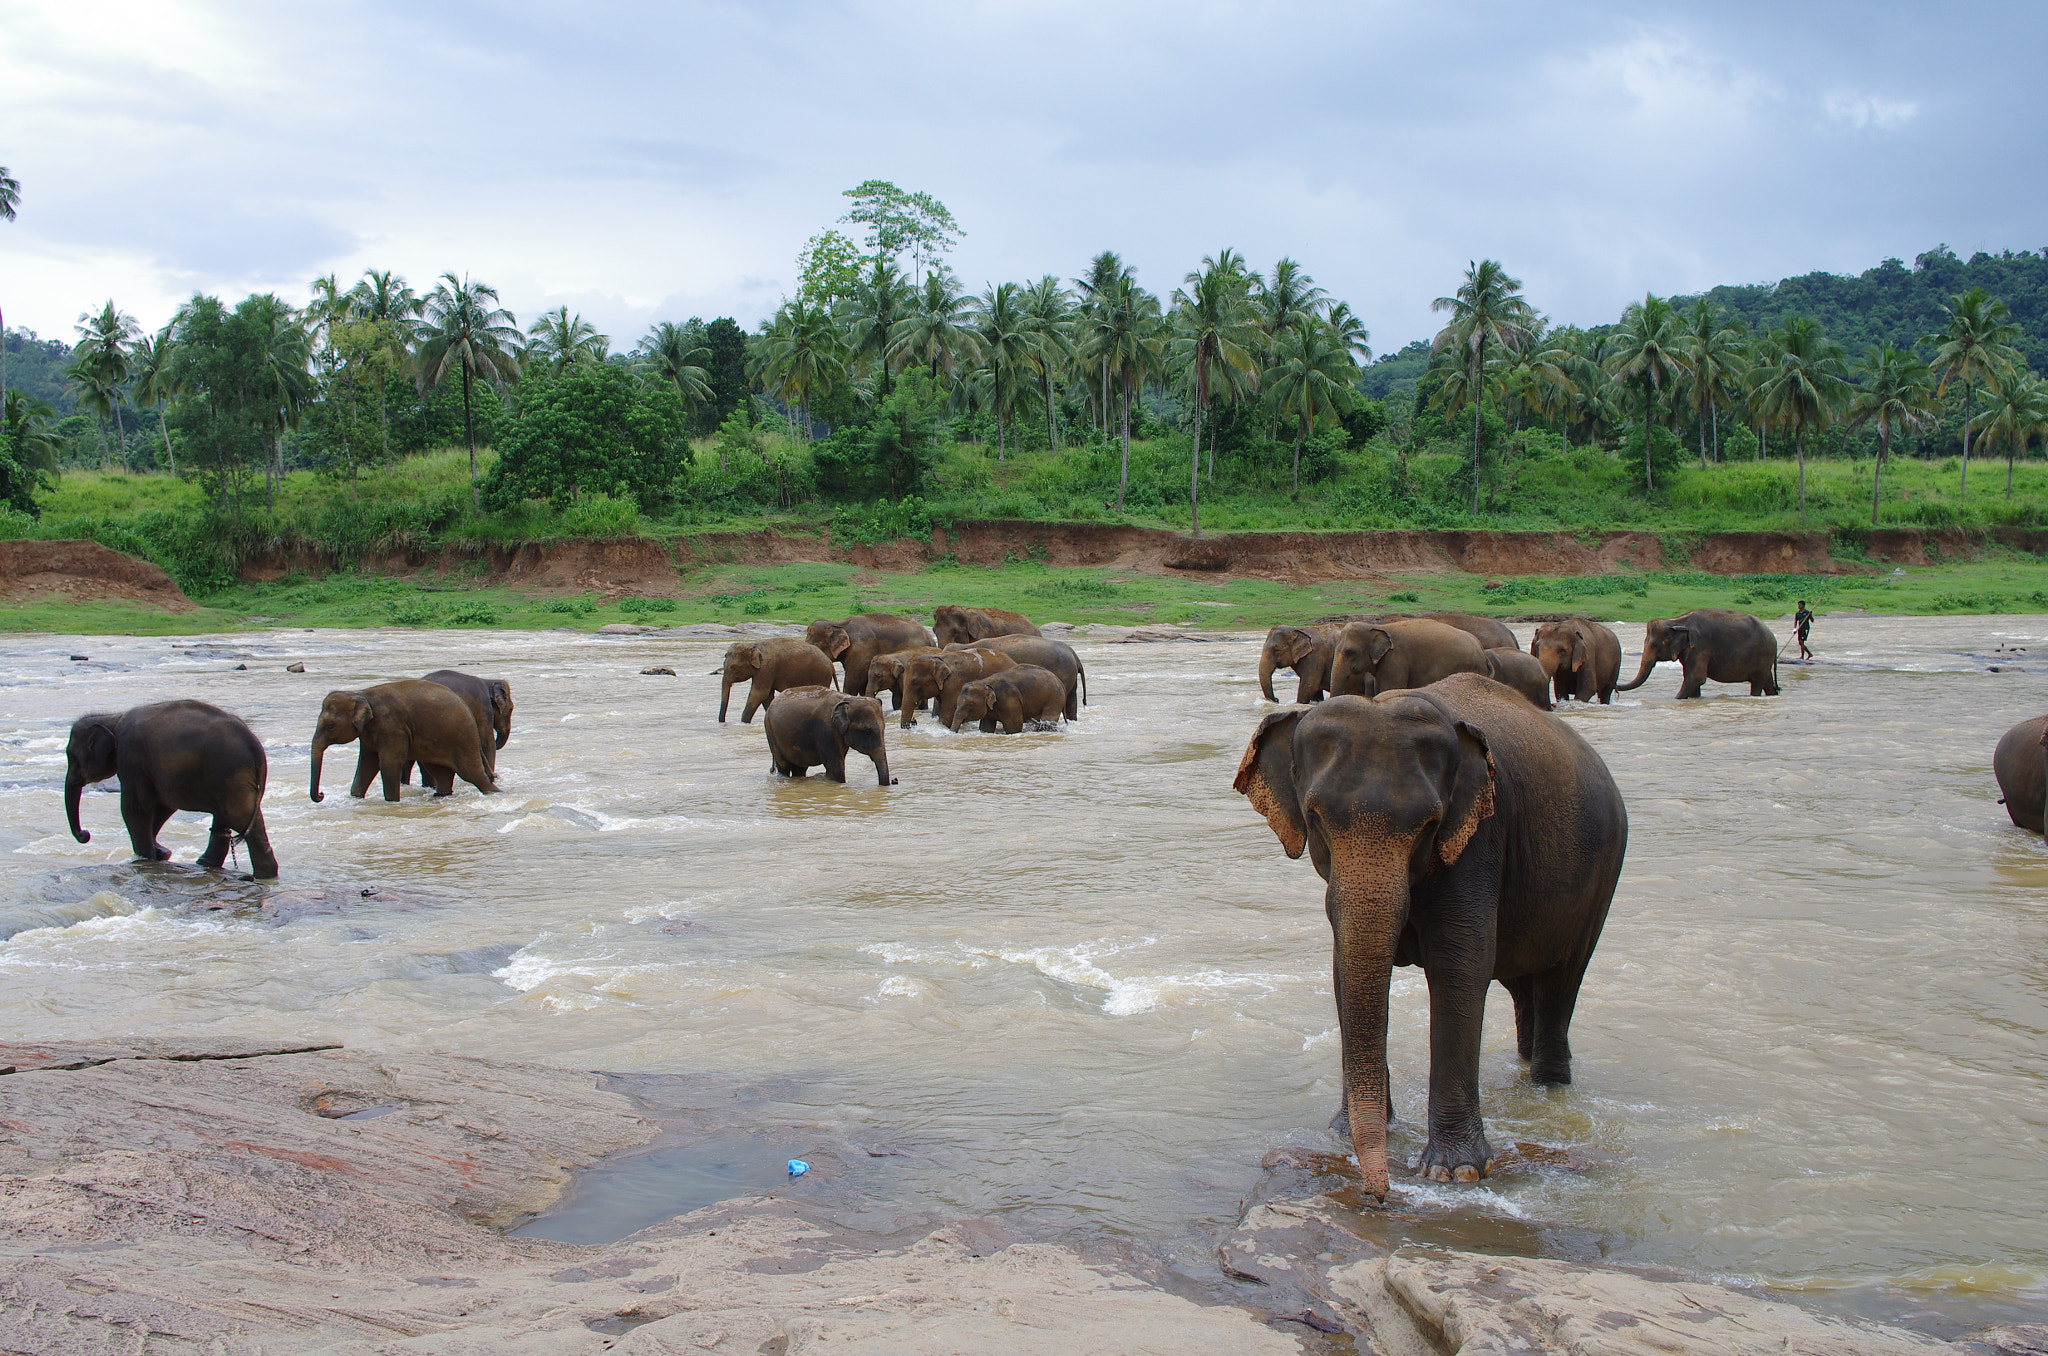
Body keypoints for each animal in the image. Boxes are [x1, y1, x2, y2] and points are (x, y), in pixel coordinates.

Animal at [311, 675, 503, 802]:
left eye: (330, 726)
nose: (321, 794)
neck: (361, 693)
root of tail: (465, 707)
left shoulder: (392, 726)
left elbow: (387, 763)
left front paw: (392, 802)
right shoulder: (368, 734)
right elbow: (366, 764)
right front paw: (356, 798)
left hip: (462, 737)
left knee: (471, 773)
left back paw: (496, 793)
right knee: (440, 772)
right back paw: (439, 796)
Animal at [1613, 614, 1777, 700]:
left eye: (1655, 645)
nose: (1616, 687)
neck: (1677, 621)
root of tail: (1773, 637)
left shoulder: (1701, 645)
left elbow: (1696, 677)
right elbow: (1691, 678)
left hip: (1763, 655)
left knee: (1757, 683)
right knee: (1767, 681)